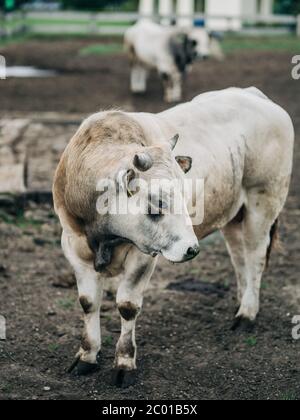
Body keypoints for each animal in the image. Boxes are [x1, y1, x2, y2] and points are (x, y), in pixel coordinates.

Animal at [53, 87, 292, 388]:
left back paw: (247, 314)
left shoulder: (143, 256)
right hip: (234, 216)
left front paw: (124, 363)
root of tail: (254, 95)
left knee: (256, 257)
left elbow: (127, 306)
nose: (192, 249)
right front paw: (87, 356)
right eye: (156, 204)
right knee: (240, 259)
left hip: (263, 203)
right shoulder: (73, 247)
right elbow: (88, 303)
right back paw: (242, 303)